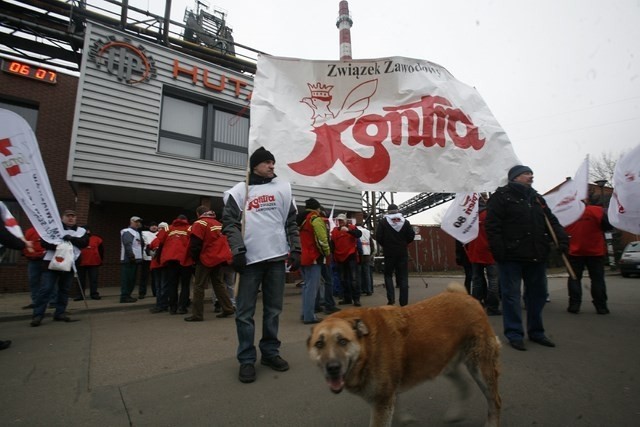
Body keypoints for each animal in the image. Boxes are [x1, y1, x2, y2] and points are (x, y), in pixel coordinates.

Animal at [306, 284, 500, 427]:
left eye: (342, 341)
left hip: (480, 368)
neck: (367, 348)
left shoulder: (382, 401)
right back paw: (455, 414)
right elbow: (397, 406)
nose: (332, 368)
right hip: (443, 363)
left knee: (495, 401)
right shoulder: (388, 395)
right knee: (464, 386)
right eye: (319, 344)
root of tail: (464, 295)